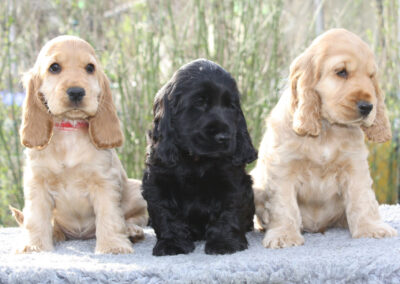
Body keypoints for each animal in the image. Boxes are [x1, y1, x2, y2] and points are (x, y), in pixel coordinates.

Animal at [14, 34, 148, 254]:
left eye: (90, 68)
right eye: (54, 67)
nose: (76, 92)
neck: (70, 128)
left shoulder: (104, 181)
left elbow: (110, 215)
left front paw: (112, 246)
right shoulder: (37, 181)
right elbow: (36, 217)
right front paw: (35, 246)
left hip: (137, 189)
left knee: (135, 217)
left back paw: (132, 231)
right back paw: (55, 233)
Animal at [142, 58, 258, 256]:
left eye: (231, 106)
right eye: (200, 102)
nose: (224, 137)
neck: (196, 161)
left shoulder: (233, 180)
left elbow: (229, 211)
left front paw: (225, 243)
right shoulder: (158, 180)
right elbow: (166, 212)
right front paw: (172, 243)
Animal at [252, 27, 396, 247]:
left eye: (371, 76)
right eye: (341, 72)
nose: (368, 107)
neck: (326, 129)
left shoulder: (355, 166)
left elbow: (362, 198)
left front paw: (371, 228)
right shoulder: (283, 168)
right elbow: (284, 205)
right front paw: (284, 235)